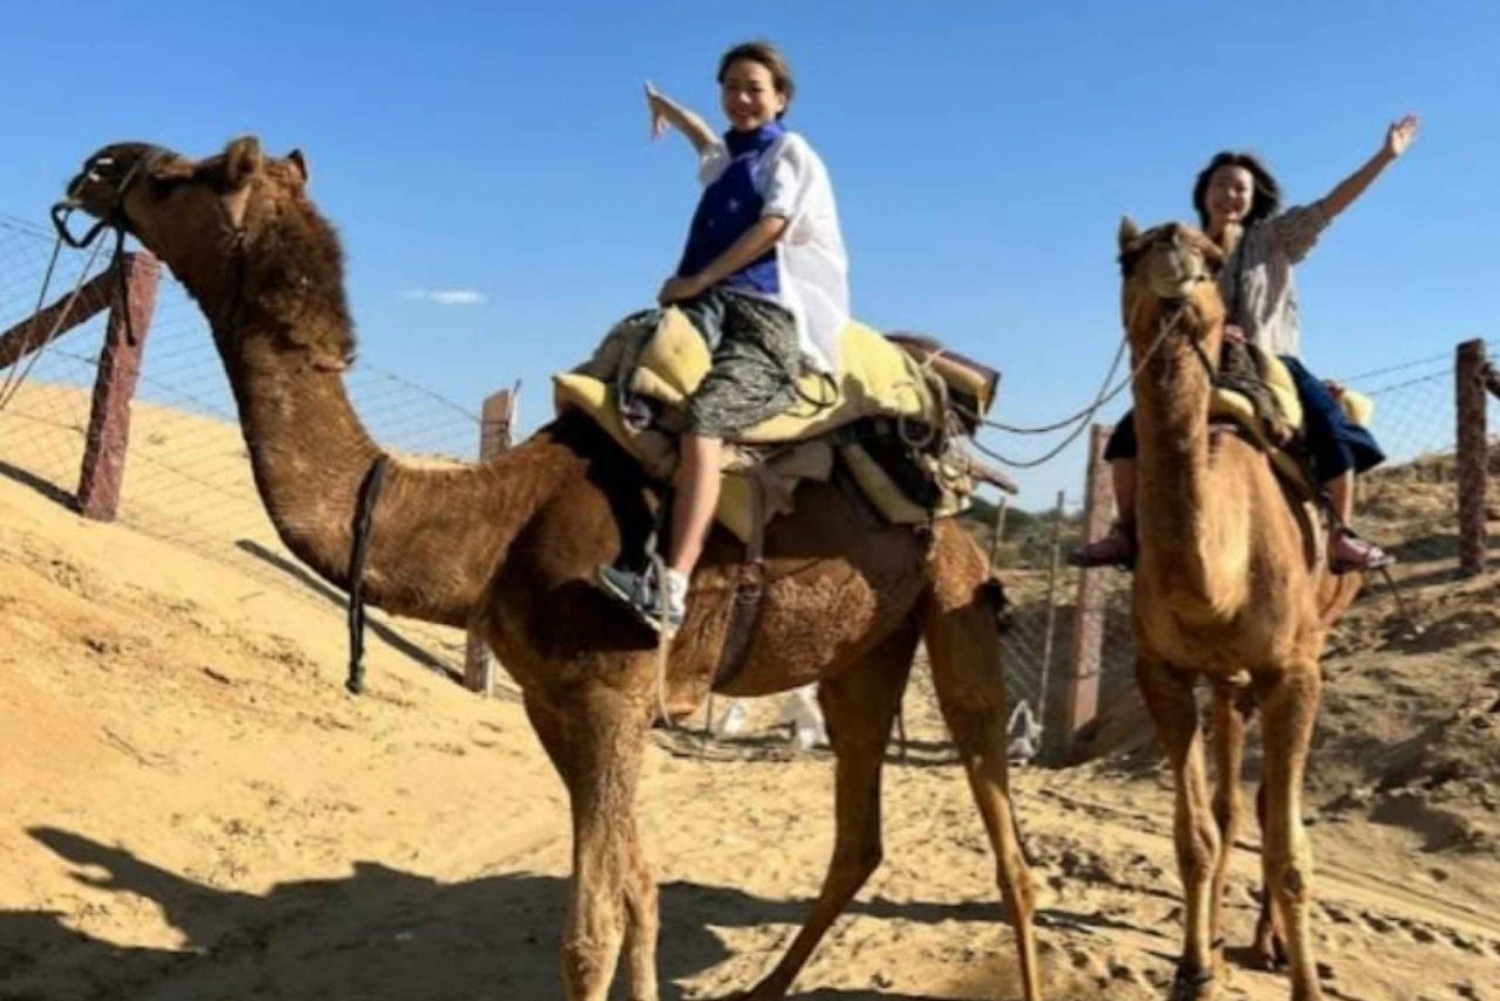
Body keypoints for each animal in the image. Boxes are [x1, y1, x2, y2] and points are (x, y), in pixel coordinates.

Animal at [58, 137, 1042, 1001]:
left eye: (183, 177)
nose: (100, 164)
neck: (494, 525)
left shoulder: (609, 693)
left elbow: (590, 931)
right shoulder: (552, 699)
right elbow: (642, 893)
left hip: (956, 604)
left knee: (1008, 850)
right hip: (862, 655)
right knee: (857, 838)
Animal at [1114, 218, 1361, 1001]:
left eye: (1215, 256)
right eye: (1126, 256)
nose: (1172, 252)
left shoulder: (1295, 669)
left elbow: (1287, 847)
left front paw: (1304, 983)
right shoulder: (1160, 668)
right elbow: (1194, 833)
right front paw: (1194, 966)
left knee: (1262, 805)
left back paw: (1268, 945)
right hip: (1225, 677)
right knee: (1226, 801)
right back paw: (1224, 942)